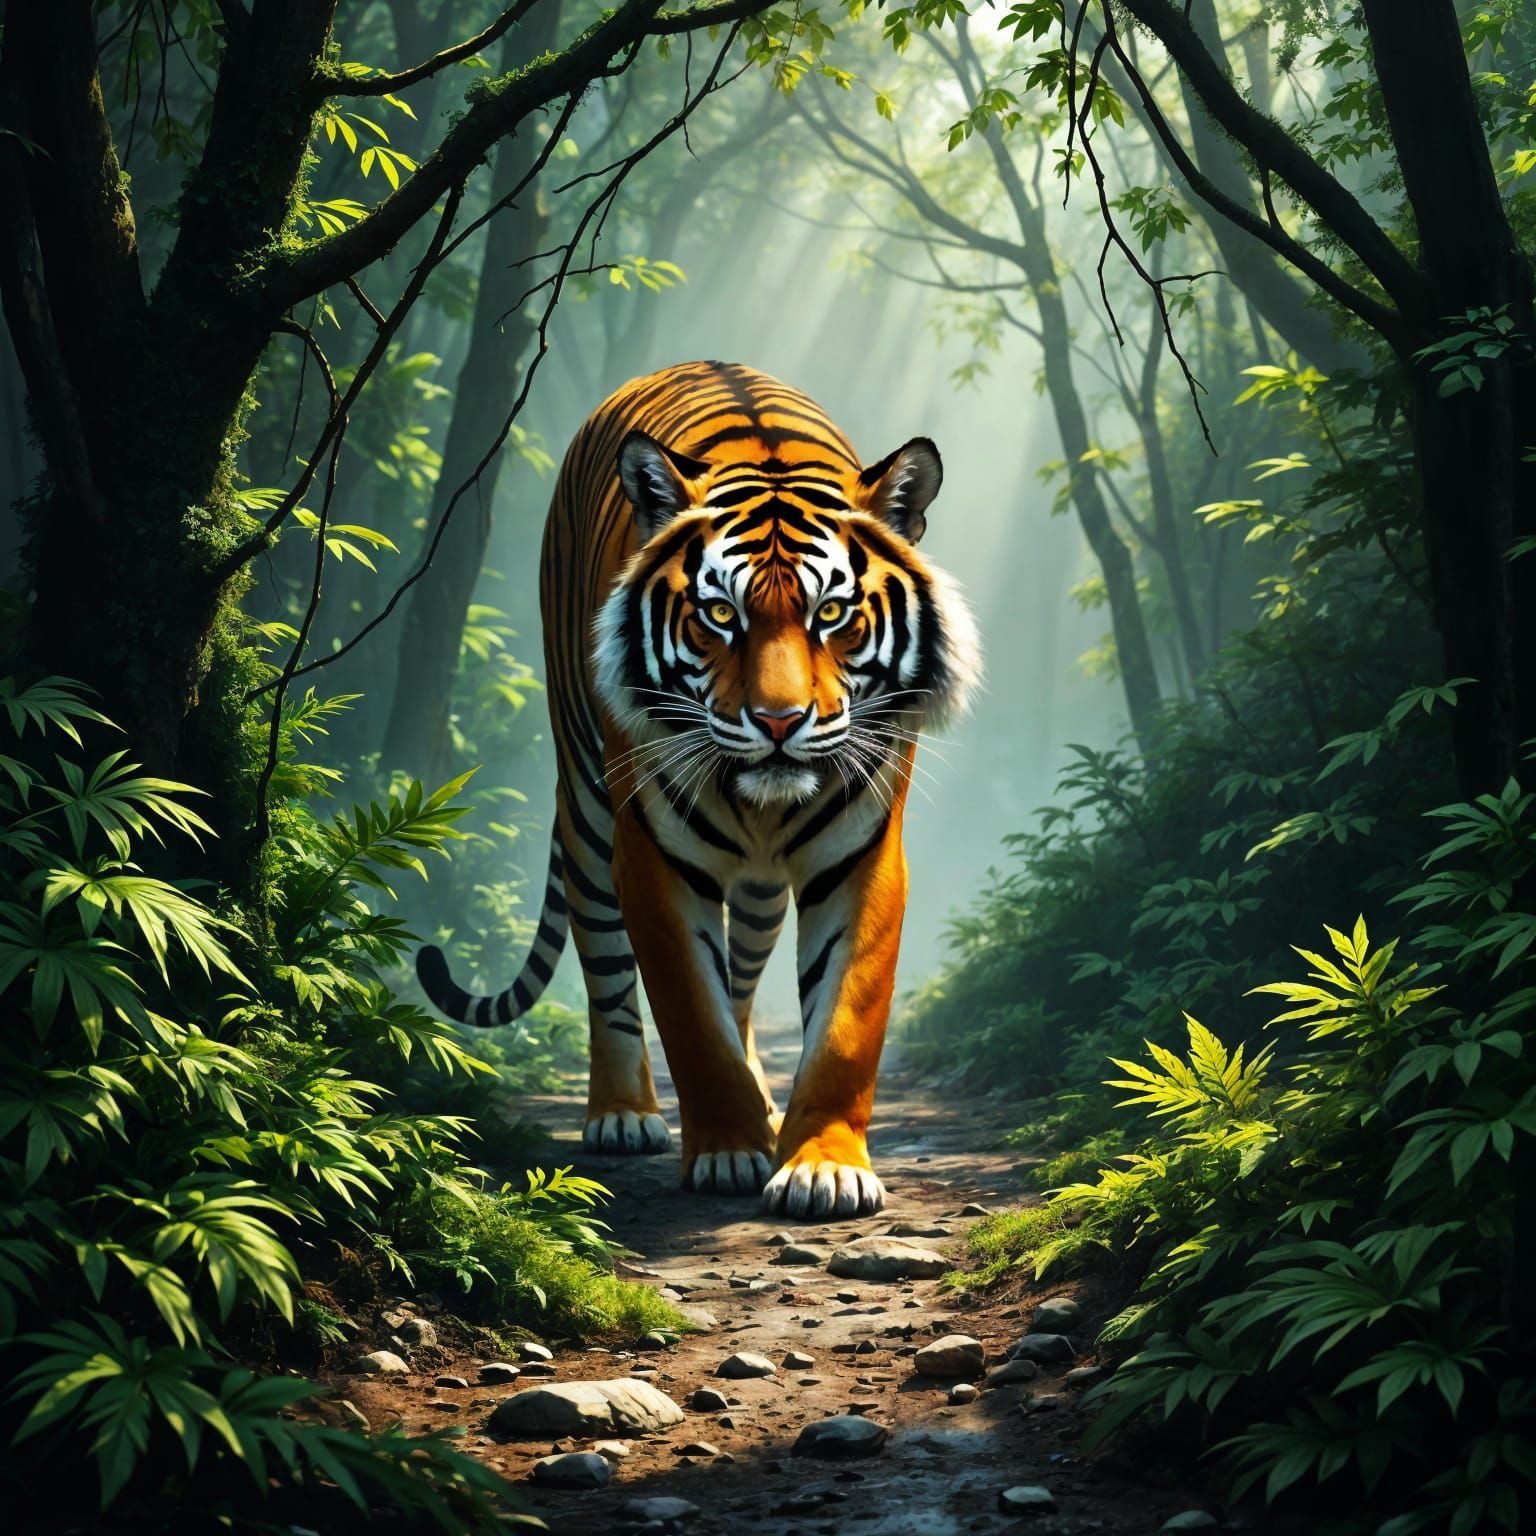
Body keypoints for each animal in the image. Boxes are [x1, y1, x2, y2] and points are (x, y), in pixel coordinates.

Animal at [417, 361, 980, 1218]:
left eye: (832, 613)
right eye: (719, 614)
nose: (778, 721)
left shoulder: (863, 855)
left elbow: (844, 1021)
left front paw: (822, 1167)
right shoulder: (651, 855)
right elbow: (691, 1015)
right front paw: (727, 1151)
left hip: (758, 893)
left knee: (742, 980)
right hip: (588, 811)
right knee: (608, 970)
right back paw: (622, 1115)